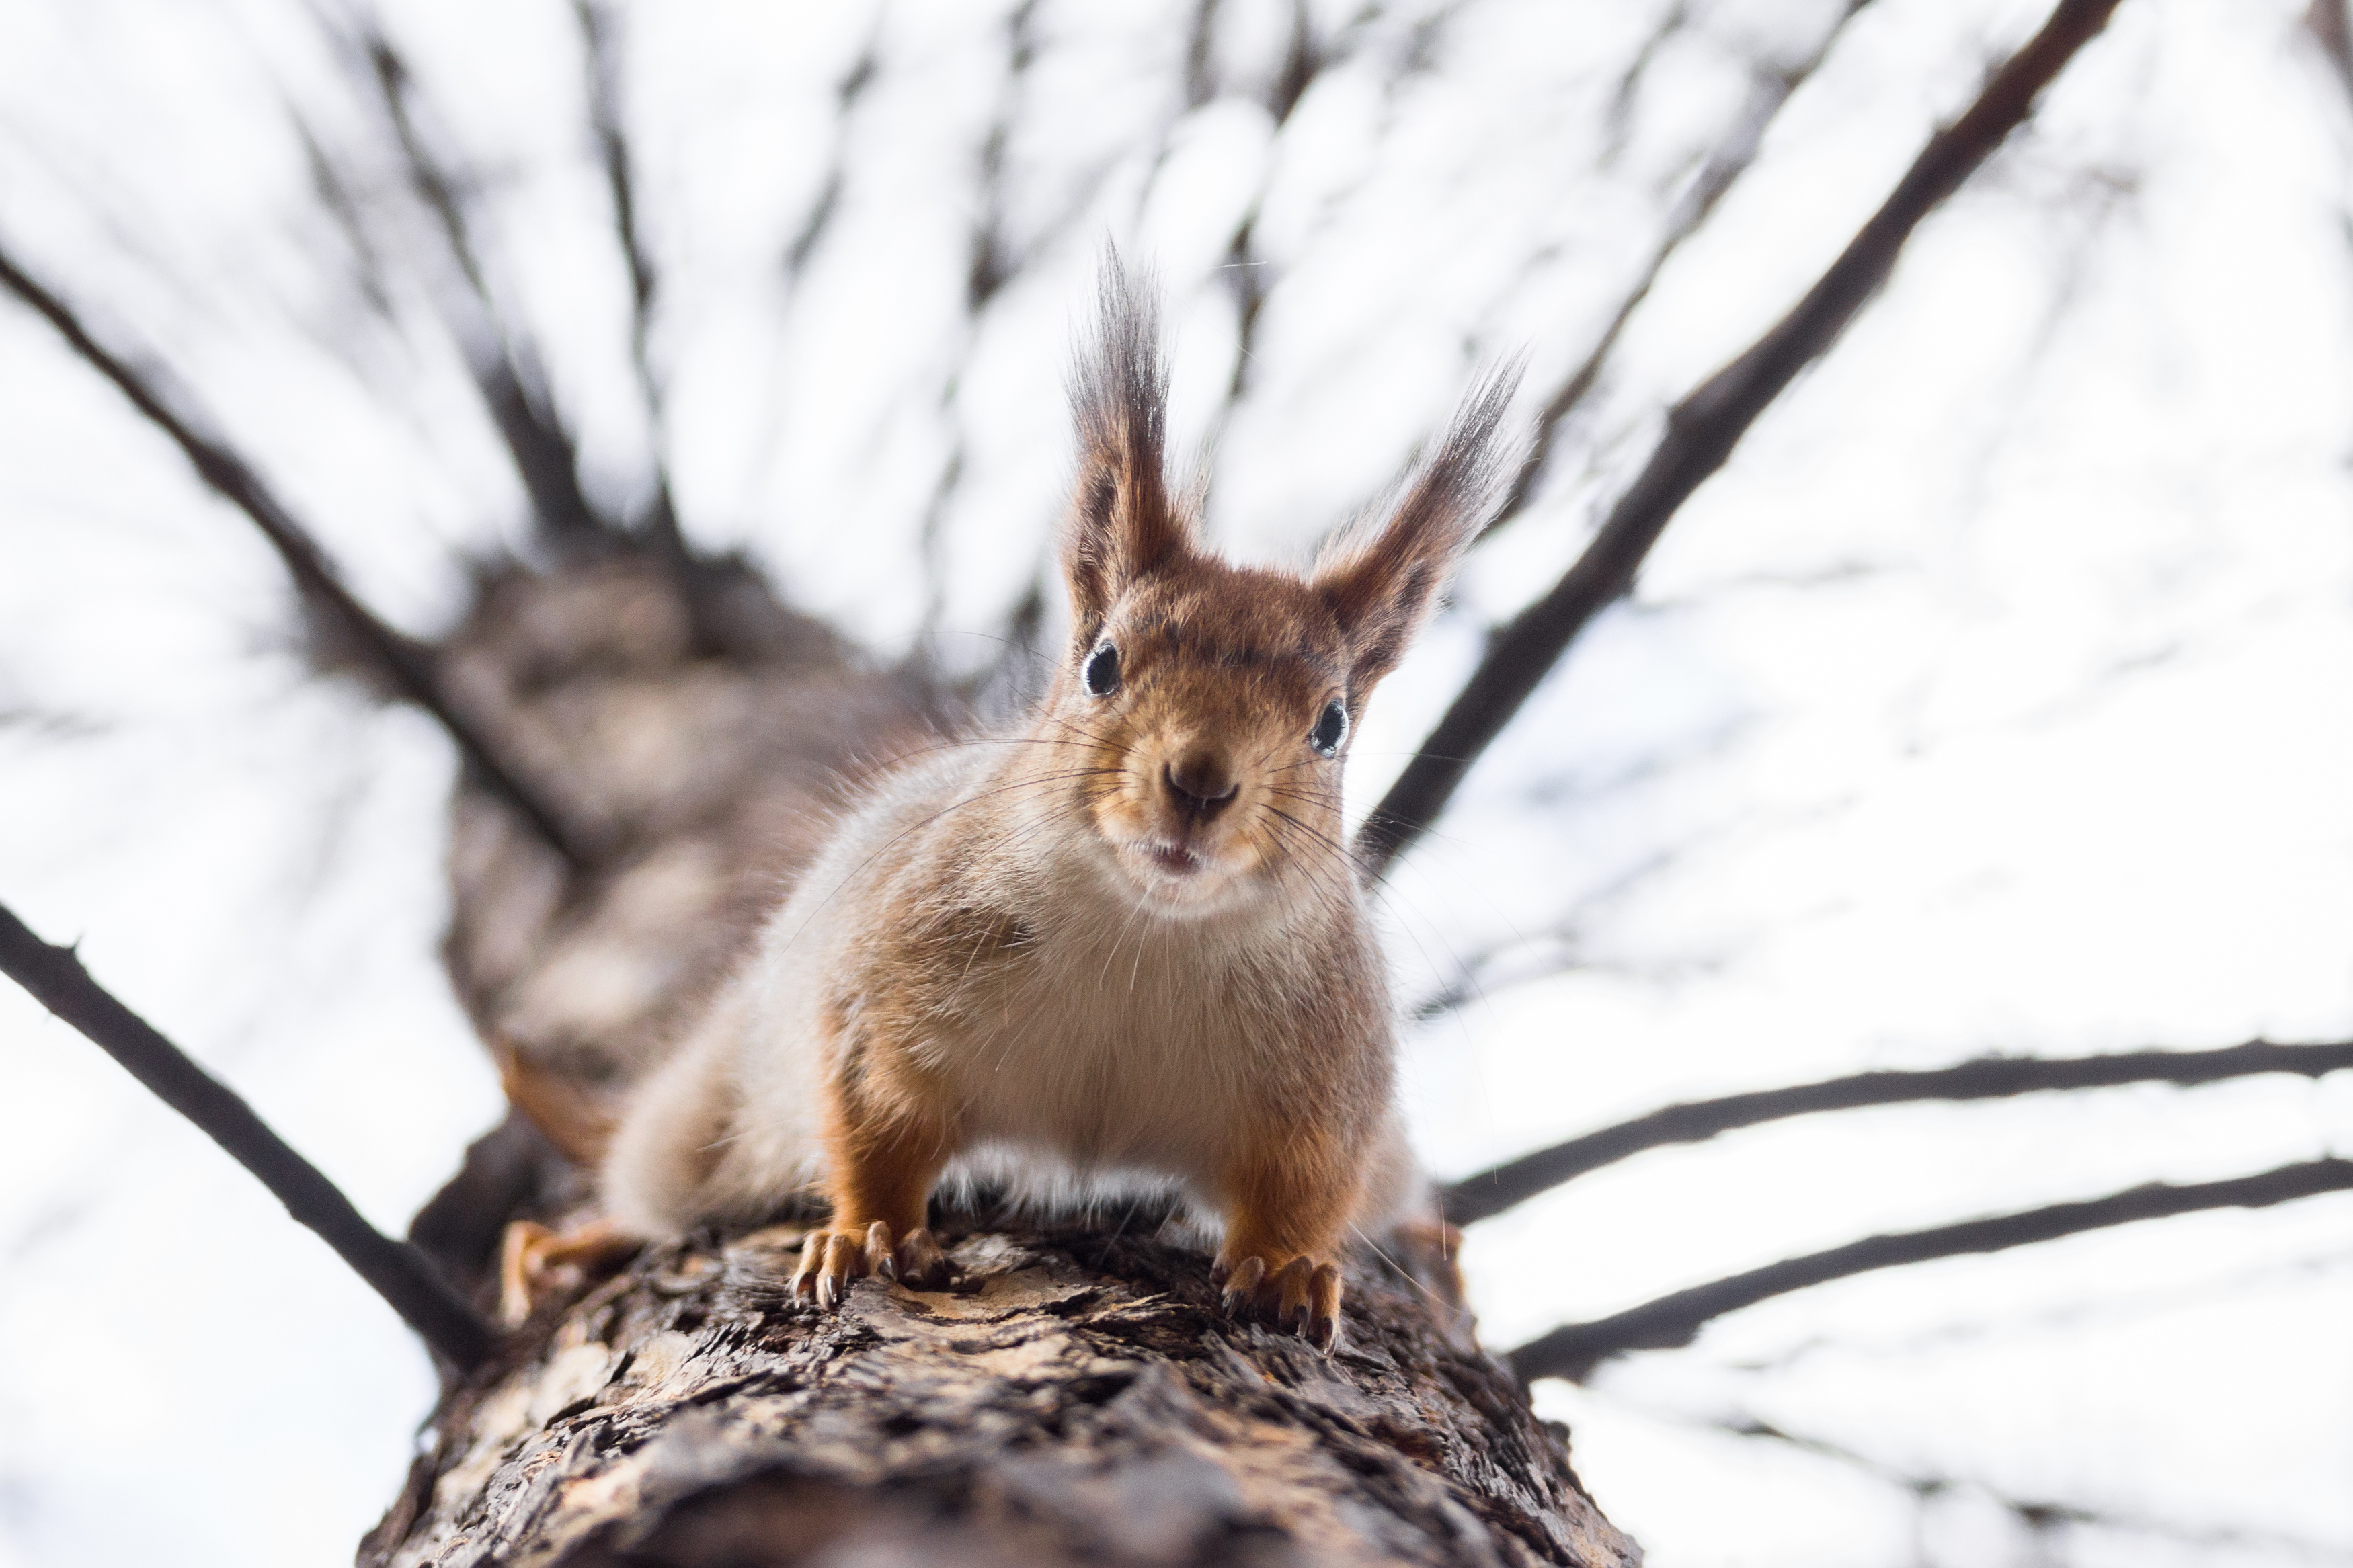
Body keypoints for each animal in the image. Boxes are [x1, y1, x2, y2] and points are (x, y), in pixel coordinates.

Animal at [527, 261, 1515, 1354]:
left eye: (1332, 723)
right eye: (1102, 664)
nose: (1200, 783)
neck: (1145, 933)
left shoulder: (1329, 1072)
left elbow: (1307, 1183)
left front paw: (1292, 1267)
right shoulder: (889, 984)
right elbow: (874, 1121)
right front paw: (868, 1231)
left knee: (1384, 1183)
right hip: (719, 1104)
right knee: (668, 1173)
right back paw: (579, 1239)